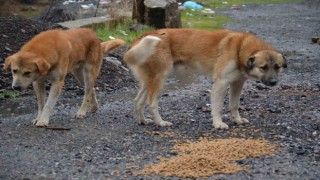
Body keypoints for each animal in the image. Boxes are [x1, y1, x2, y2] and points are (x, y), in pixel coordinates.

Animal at [124, 28, 286, 129]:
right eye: (263, 67)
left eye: (277, 67)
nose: (273, 82)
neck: (239, 48)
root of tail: (142, 37)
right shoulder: (221, 83)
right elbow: (218, 107)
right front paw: (218, 124)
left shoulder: (237, 83)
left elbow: (234, 105)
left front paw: (237, 120)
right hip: (159, 80)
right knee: (151, 103)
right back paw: (160, 122)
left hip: (149, 81)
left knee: (137, 101)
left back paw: (142, 121)